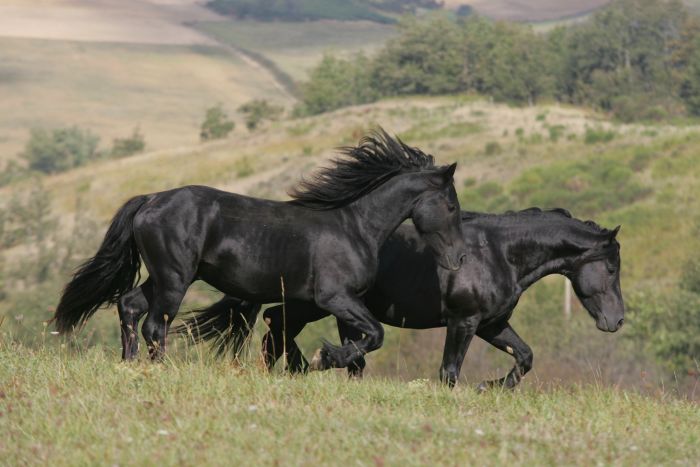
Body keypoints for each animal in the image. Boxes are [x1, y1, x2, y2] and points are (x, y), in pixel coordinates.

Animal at [53, 131, 464, 366]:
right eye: (451, 206)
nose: (459, 258)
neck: (355, 226)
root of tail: (151, 200)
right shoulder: (335, 298)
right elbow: (375, 335)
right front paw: (325, 357)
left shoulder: (320, 303)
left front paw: (319, 360)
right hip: (174, 279)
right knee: (155, 324)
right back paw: (160, 369)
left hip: (163, 276)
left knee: (129, 307)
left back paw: (130, 364)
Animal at [185, 208, 624, 388]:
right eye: (612, 268)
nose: (616, 321)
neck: (496, 252)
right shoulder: (463, 322)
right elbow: (449, 373)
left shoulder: (492, 324)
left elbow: (526, 357)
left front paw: (492, 386)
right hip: (313, 304)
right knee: (276, 323)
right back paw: (309, 363)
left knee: (275, 325)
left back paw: (300, 367)